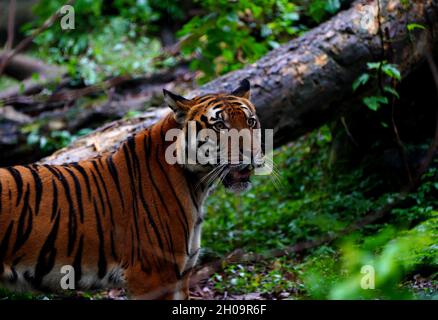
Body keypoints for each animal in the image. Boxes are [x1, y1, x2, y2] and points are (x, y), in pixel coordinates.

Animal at [0, 79, 264, 298]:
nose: (252, 154)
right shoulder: (153, 275)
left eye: (251, 121)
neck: (198, 186)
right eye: (220, 125)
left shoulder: (181, 274)